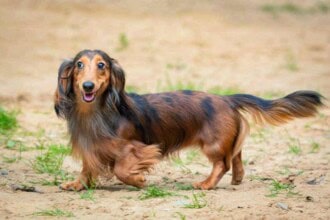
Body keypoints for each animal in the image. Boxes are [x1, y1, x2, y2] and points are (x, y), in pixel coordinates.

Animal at [54, 49, 324, 190]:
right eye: (79, 65)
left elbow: (121, 168)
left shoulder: (137, 148)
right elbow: (87, 168)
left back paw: (206, 184)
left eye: (101, 65)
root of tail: (227, 98)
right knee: (236, 155)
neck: (95, 113)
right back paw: (237, 178)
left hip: (213, 144)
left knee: (222, 163)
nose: (88, 86)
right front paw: (77, 184)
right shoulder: (90, 147)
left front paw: (137, 179)